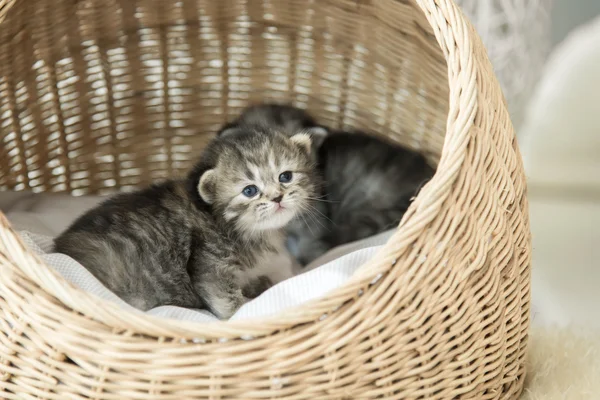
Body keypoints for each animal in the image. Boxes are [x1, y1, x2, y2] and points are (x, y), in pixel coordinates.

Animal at [55, 126, 318, 318]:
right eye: (250, 190)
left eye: (286, 176)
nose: (277, 197)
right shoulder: (210, 264)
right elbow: (225, 299)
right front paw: (243, 311)